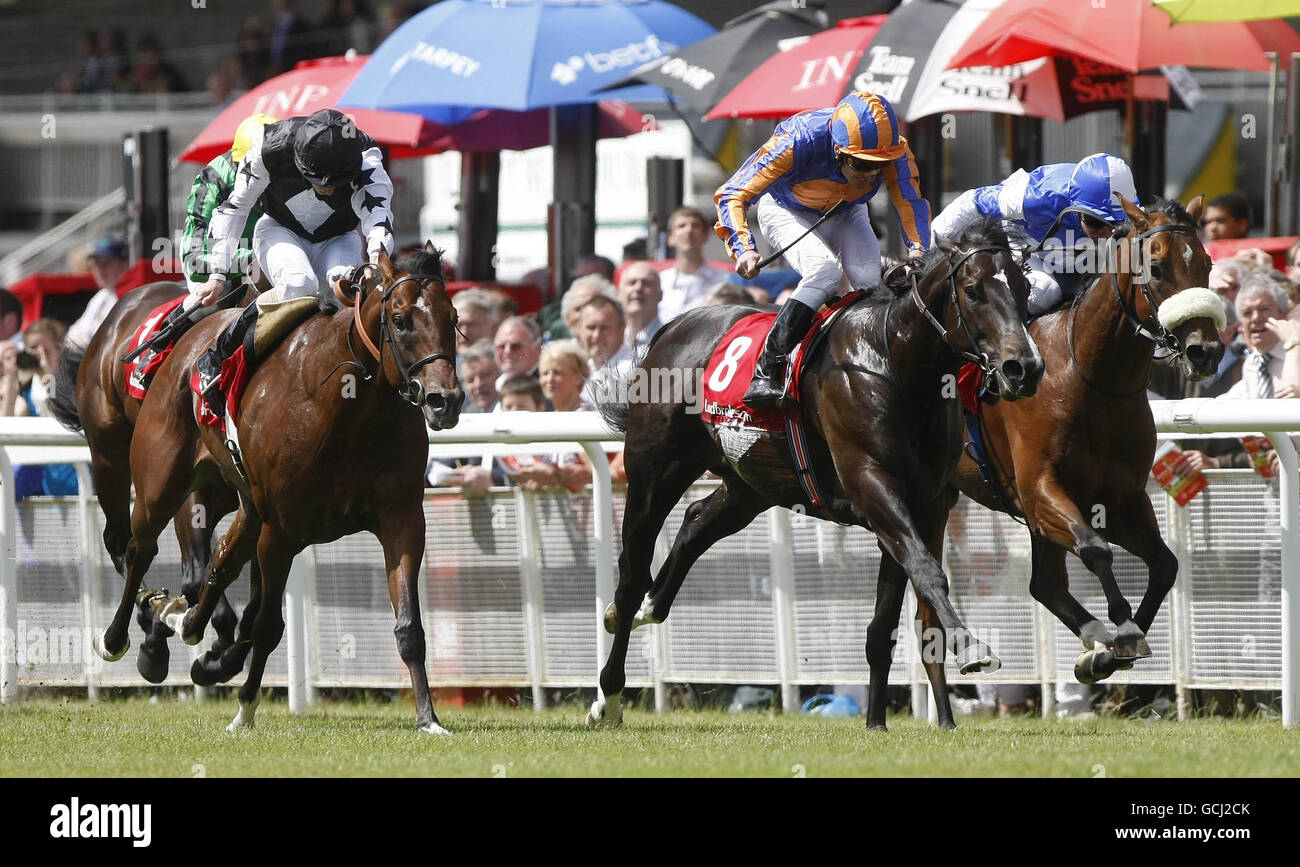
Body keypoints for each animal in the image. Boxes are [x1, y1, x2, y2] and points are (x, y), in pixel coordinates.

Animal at [51, 283, 253, 686]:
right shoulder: (189, 495)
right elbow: (196, 576)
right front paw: (164, 639)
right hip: (110, 456)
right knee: (119, 539)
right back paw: (140, 620)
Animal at [89, 246, 462, 738]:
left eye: (453, 316)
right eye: (400, 320)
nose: (446, 400)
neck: (348, 407)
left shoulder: (401, 520)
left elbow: (409, 627)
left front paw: (428, 718)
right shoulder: (280, 532)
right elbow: (266, 625)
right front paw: (244, 708)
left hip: (246, 507)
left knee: (219, 563)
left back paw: (184, 622)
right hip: (156, 483)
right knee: (138, 548)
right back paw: (121, 639)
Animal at [590, 223, 1045, 733]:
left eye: (1023, 287)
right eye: (973, 290)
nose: (1024, 368)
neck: (893, 363)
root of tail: (668, 329)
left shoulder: (926, 503)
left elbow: (893, 615)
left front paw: (889, 722)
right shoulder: (872, 486)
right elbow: (927, 571)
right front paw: (971, 648)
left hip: (750, 484)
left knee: (695, 523)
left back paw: (651, 606)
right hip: (654, 473)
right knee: (631, 575)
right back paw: (609, 694)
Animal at [951, 194, 1222, 686]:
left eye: (1207, 263)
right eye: (1156, 267)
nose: (1204, 351)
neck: (1091, 378)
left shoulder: (1119, 499)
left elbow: (1166, 565)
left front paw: (1108, 653)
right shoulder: (1041, 489)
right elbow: (1095, 550)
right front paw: (1121, 632)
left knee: (1045, 585)